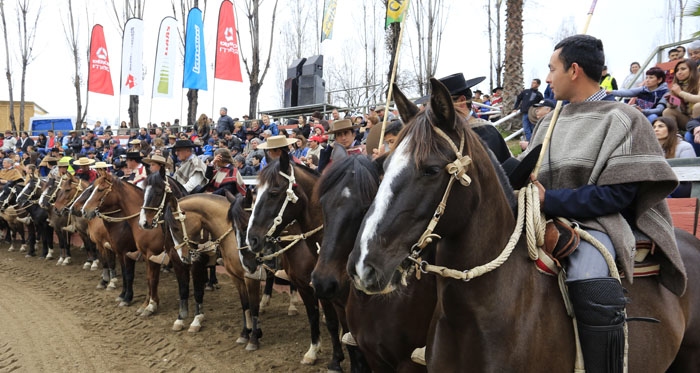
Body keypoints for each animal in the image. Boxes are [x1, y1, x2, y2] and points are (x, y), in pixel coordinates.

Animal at [81, 172, 178, 314]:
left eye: (100, 189)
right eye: (92, 188)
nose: (84, 211)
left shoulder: (135, 253)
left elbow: (134, 276)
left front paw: (130, 299)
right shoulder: (122, 253)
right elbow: (129, 275)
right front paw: (123, 295)